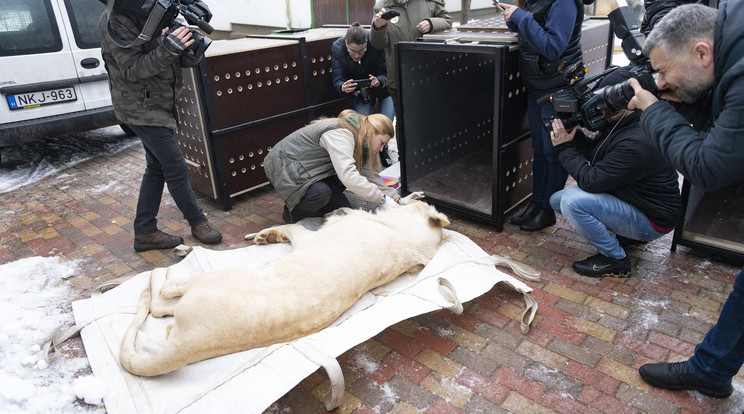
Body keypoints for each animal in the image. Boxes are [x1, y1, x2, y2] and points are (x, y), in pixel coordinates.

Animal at [119, 201, 450, 378]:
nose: (339, 207)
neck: (399, 236)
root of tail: (188, 344)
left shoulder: (309, 239)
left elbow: (294, 228)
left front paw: (267, 235)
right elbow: (286, 230)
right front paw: (265, 237)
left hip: (217, 278)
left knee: (160, 301)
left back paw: (161, 273)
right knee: (160, 311)